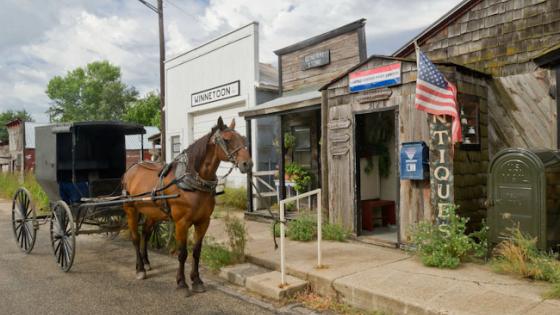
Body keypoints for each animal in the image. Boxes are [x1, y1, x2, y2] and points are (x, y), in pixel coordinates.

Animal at [123, 117, 255, 296]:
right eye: (227, 140)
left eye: (243, 138)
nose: (247, 164)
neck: (191, 183)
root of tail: (131, 169)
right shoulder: (181, 223)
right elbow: (182, 253)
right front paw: (182, 283)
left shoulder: (203, 221)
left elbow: (197, 251)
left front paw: (197, 280)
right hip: (131, 210)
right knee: (136, 238)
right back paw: (140, 269)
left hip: (152, 212)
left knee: (145, 234)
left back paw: (146, 262)